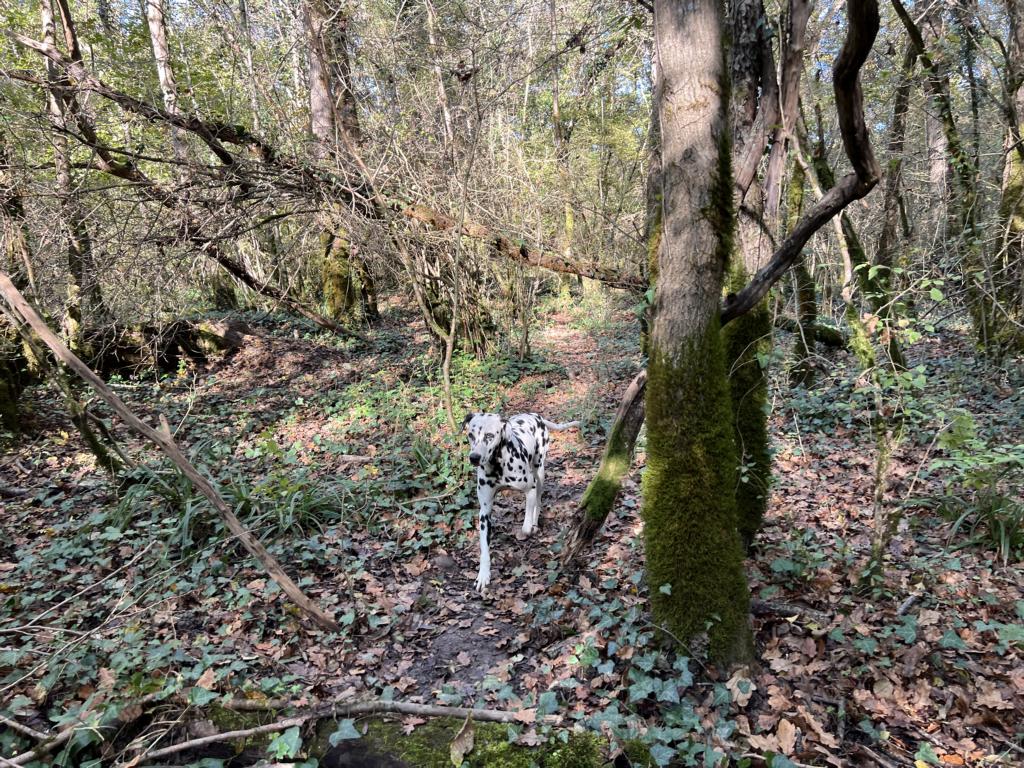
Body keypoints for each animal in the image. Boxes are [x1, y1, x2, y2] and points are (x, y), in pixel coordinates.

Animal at [462, 411, 581, 593]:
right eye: (471, 435)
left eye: (489, 435)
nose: (474, 457)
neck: (498, 465)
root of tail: (535, 415)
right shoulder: (484, 513)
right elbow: (484, 549)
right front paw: (483, 575)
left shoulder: (530, 488)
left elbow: (526, 524)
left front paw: (529, 527)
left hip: (540, 471)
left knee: (538, 500)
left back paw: (535, 523)